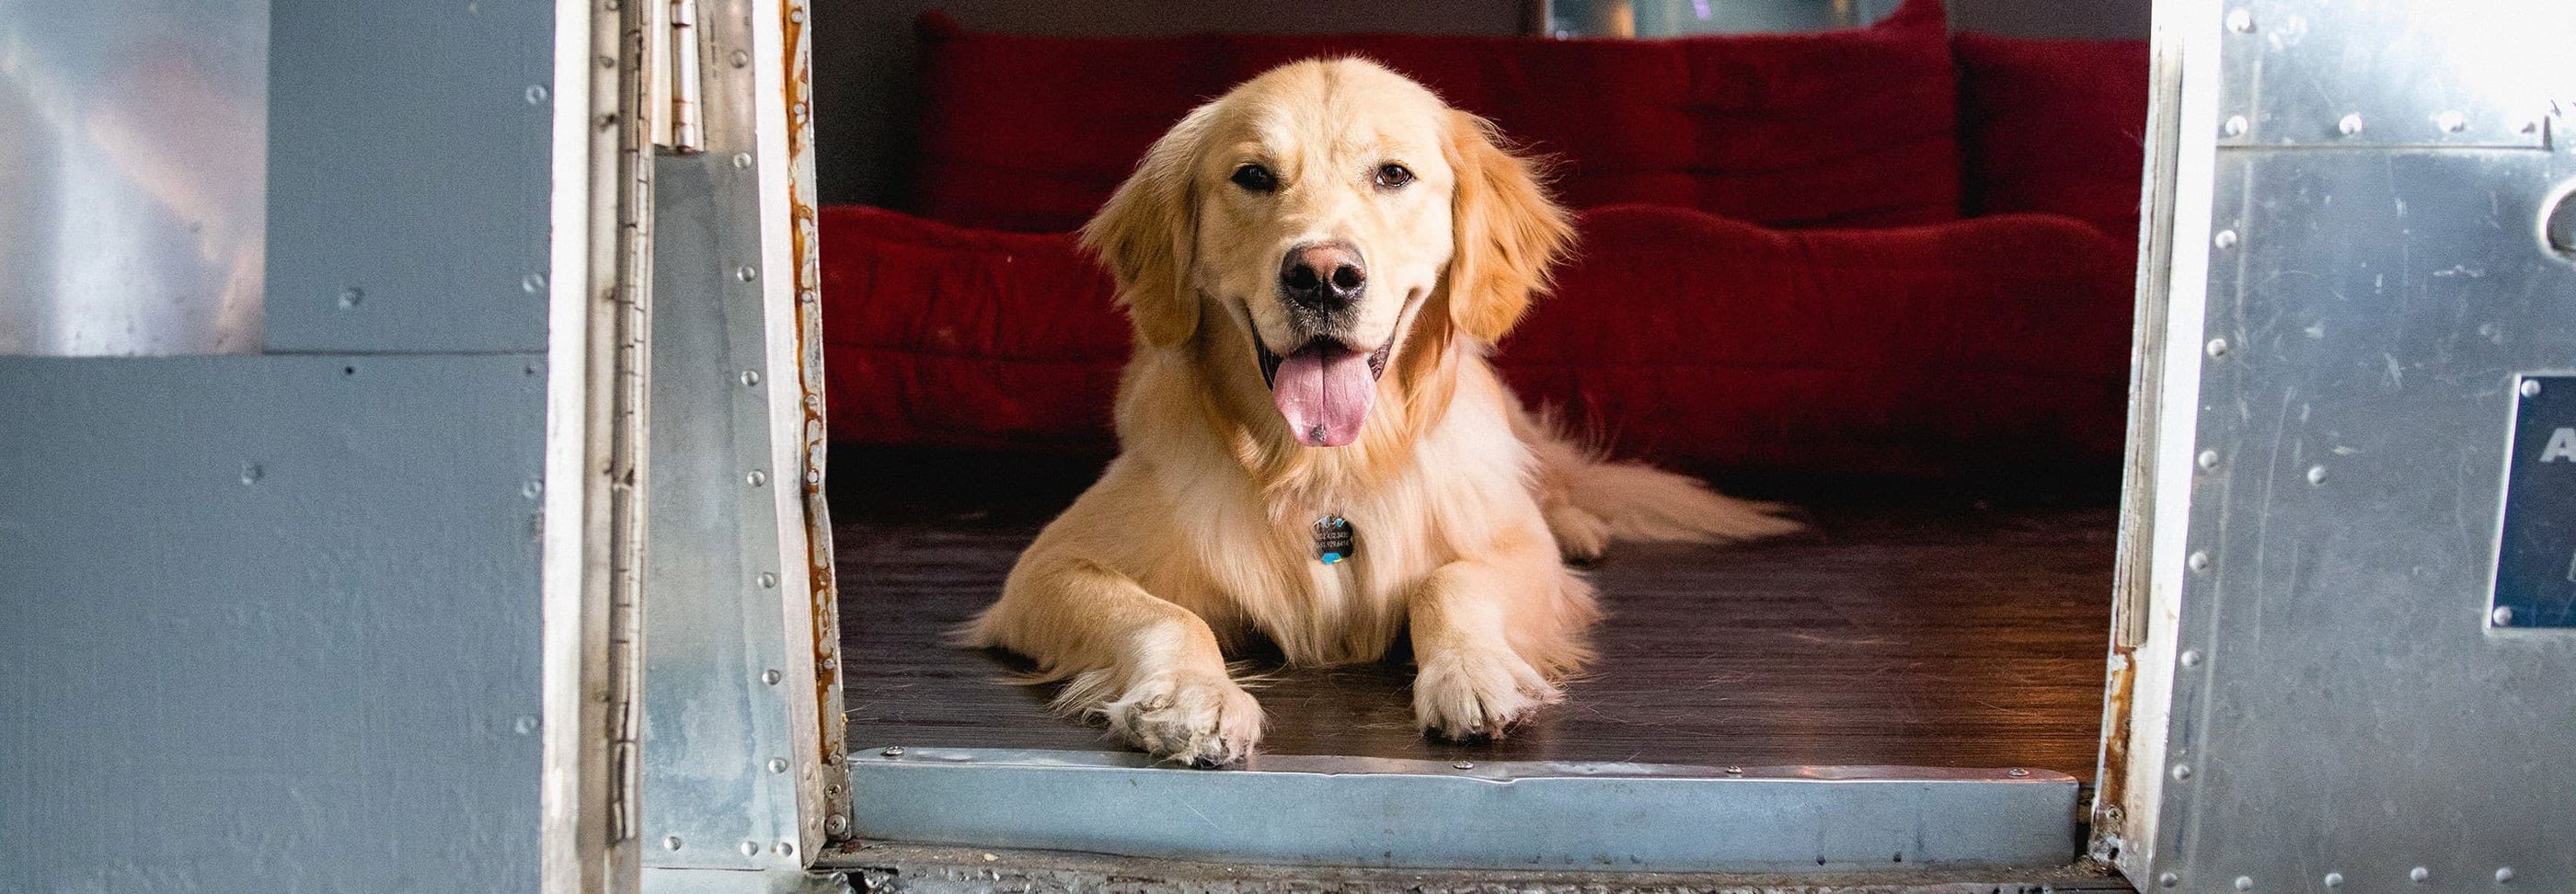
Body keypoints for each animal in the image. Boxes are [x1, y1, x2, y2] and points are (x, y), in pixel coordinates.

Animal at [963, 57, 1792, 773]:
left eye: (1393, 174)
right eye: (1253, 176)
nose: (1323, 277)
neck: (1327, 468)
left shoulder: (1514, 548)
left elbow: (1448, 584)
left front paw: (1473, 673)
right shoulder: (1047, 568)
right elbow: (1163, 615)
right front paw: (1192, 699)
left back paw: (1581, 526)